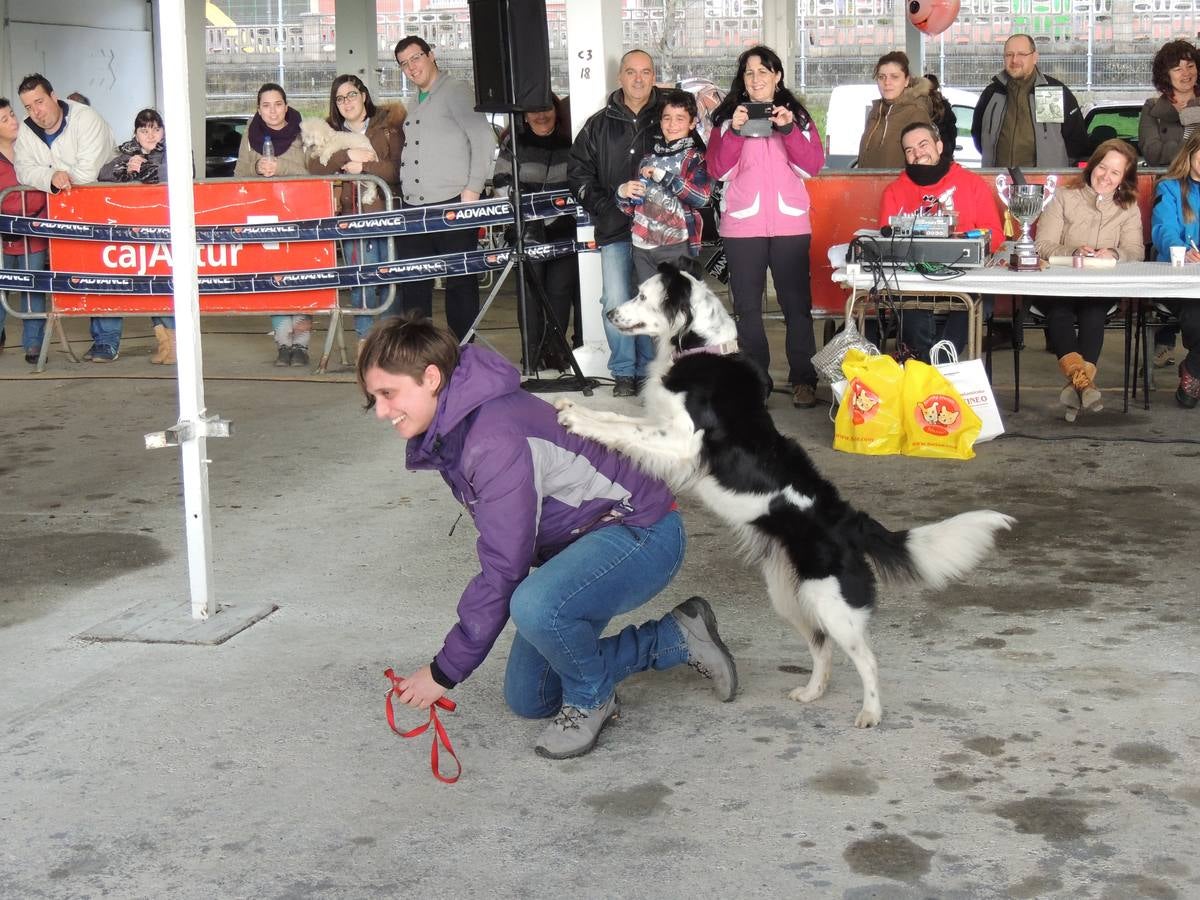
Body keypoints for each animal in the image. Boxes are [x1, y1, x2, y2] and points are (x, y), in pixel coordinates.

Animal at [552, 262, 1012, 734]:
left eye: (643, 296)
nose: (609, 315)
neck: (701, 348)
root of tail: (849, 520)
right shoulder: (661, 427)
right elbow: (616, 419)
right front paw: (575, 410)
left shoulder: (681, 441)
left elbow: (624, 429)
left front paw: (577, 421)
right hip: (791, 598)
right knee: (821, 646)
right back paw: (812, 692)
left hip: (833, 603)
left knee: (865, 658)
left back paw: (870, 713)